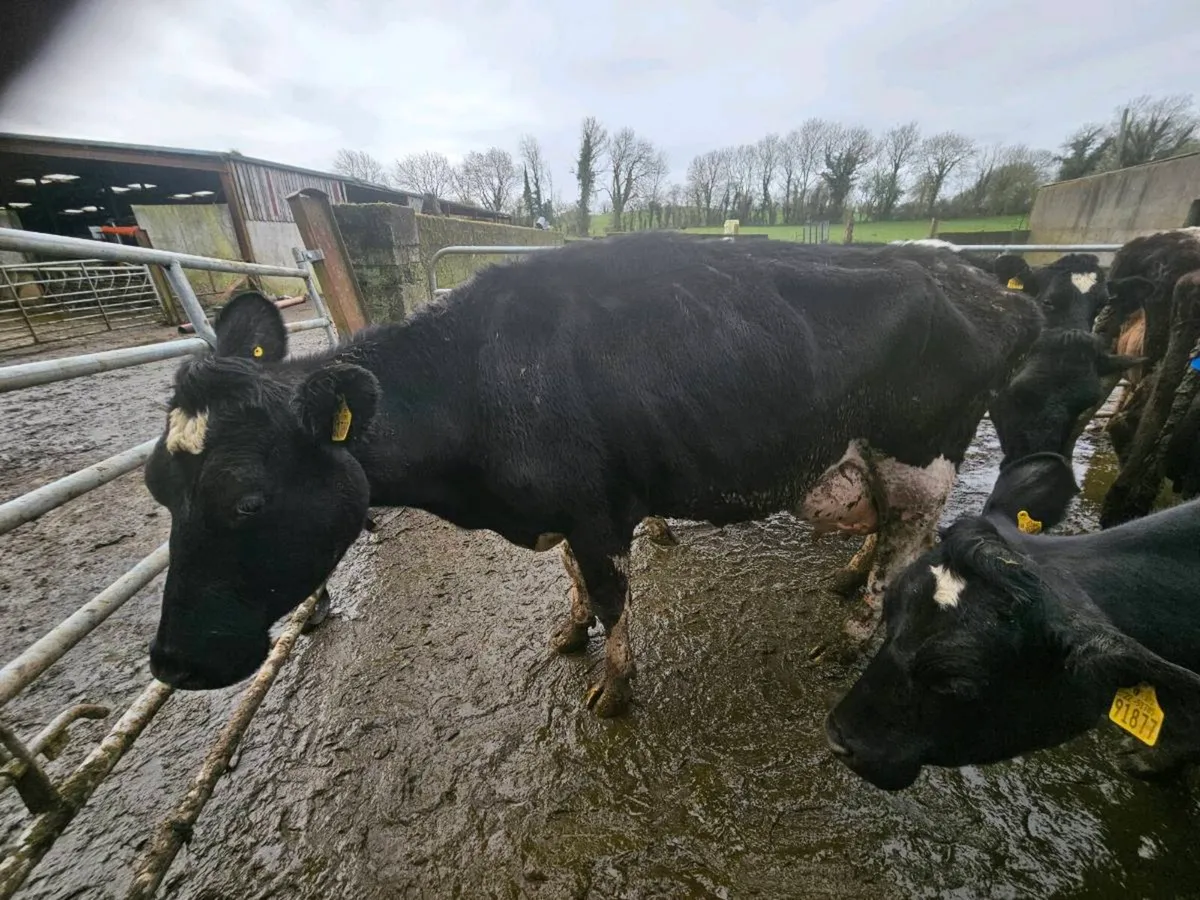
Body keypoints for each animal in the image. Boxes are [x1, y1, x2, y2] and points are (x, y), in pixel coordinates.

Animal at [143, 232, 1042, 717]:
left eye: (246, 500)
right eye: (158, 489)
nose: (171, 664)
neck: (483, 377)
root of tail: (985, 284)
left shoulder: (598, 509)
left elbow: (612, 595)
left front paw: (614, 687)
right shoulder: (564, 512)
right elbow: (575, 583)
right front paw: (569, 633)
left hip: (920, 453)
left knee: (907, 541)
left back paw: (852, 632)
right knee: (891, 532)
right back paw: (848, 578)